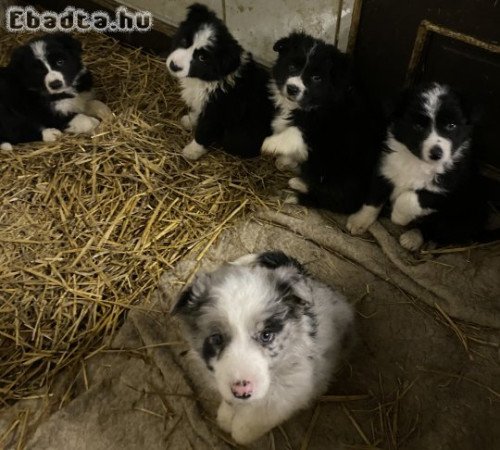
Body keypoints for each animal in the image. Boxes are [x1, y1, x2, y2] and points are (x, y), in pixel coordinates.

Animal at [165, 3, 274, 161]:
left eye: (202, 58)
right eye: (185, 41)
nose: (174, 66)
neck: (208, 79)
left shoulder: (217, 112)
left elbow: (204, 132)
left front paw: (192, 151)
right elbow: (198, 112)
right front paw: (190, 120)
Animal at [173, 251, 356, 444]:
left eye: (266, 335)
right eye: (216, 338)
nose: (241, 391)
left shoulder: (290, 392)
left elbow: (250, 425)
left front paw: (239, 428)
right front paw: (226, 416)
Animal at [262, 32, 378, 214]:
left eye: (316, 78)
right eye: (291, 67)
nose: (292, 89)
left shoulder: (322, 128)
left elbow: (295, 132)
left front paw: (271, 143)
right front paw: (285, 159)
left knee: (330, 199)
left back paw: (295, 190)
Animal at [346, 81, 498, 250]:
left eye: (451, 125)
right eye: (418, 126)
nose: (436, 154)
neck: (417, 162)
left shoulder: (446, 191)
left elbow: (409, 197)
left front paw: (398, 217)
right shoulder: (385, 171)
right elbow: (374, 199)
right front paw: (359, 220)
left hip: (460, 216)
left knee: (437, 232)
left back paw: (413, 237)